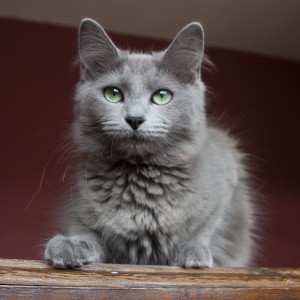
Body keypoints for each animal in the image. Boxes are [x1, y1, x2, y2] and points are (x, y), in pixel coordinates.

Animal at [44, 18, 255, 268]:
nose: (134, 119)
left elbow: (206, 227)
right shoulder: (79, 211)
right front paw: (69, 245)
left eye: (162, 96)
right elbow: (88, 233)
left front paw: (192, 250)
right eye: (113, 94)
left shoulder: (227, 176)